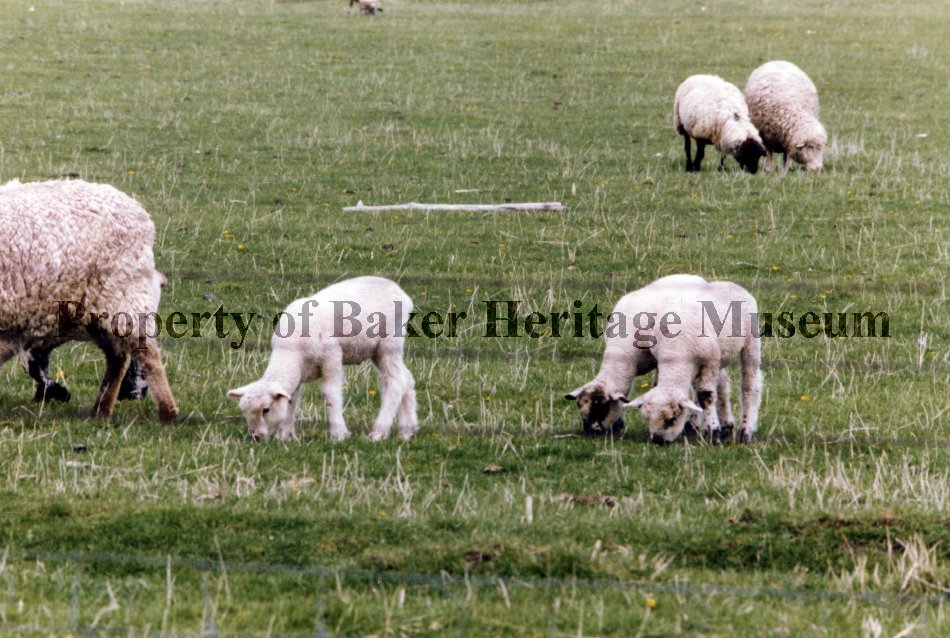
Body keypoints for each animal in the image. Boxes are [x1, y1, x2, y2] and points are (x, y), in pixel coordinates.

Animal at [0, 179, 178, 423]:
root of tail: (137, 210)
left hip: (122, 295)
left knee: (146, 354)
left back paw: (167, 412)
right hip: (97, 310)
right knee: (117, 357)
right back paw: (101, 409)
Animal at [227, 276, 417, 442]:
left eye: (266, 410)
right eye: (244, 411)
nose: (256, 437)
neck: (291, 351)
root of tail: (400, 291)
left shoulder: (332, 357)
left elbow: (331, 394)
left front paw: (339, 434)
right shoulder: (297, 374)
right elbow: (291, 401)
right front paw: (285, 436)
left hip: (389, 342)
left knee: (395, 383)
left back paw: (378, 433)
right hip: (376, 350)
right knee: (406, 378)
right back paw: (407, 431)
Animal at [565, 274, 762, 443]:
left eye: (602, 407)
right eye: (580, 408)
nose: (591, 431)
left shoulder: (706, 361)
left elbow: (705, 395)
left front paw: (713, 434)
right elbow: (628, 392)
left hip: (749, 343)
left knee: (749, 385)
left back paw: (745, 432)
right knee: (721, 383)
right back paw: (722, 426)